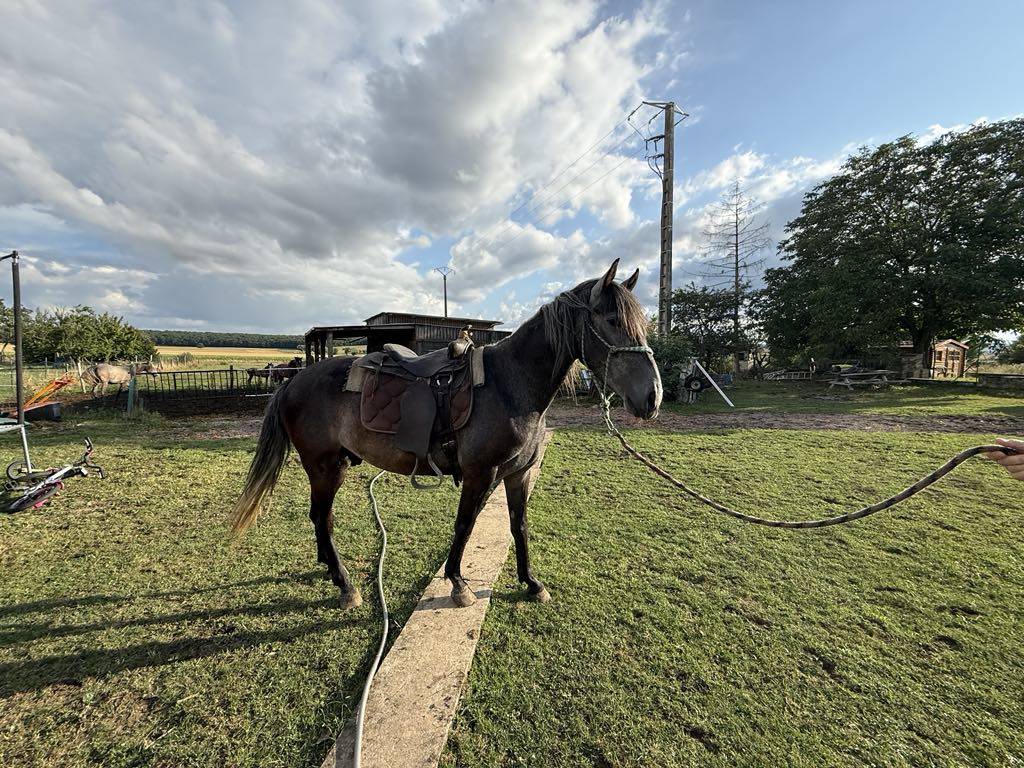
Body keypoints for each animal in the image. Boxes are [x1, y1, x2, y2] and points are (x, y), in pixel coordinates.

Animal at [229, 260, 662, 610]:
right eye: (612, 321)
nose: (652, 397)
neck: (510, 385)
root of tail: (293, 381)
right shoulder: (480, 475)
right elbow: (464, 525)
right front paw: (458, 584)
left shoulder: (518, 476)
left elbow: (518, 527)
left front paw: (530, 583)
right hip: (324, 467)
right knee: (322, 516)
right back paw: (345, 585)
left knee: (320, 518)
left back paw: (329, 570)